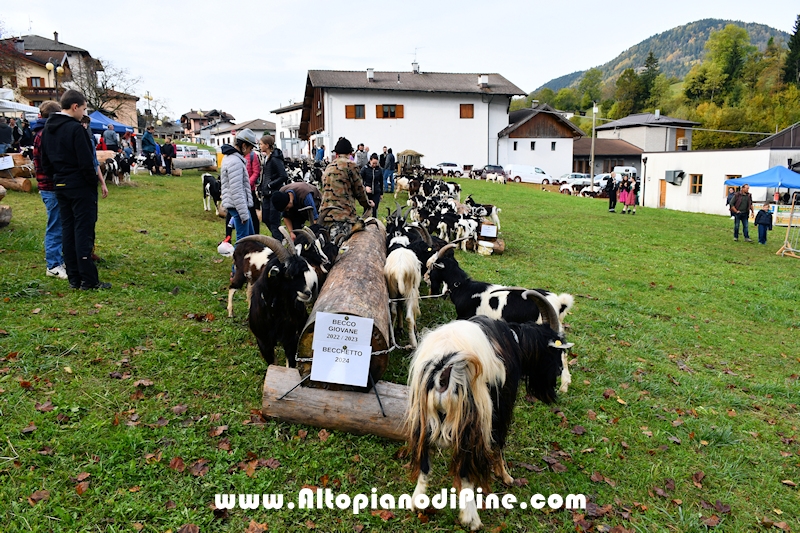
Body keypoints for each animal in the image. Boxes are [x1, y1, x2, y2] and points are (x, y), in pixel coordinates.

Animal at [410, 294, 572, 528]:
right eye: (555, 350)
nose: (559, 373)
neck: (515, 339)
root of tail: (444, 368)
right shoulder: (501, 408)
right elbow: (498, 443)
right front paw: (505, 476)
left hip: (423, 420)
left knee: (424, 463)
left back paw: (417, 503)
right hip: (473, 421)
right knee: (465, 470)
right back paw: (472, 518)